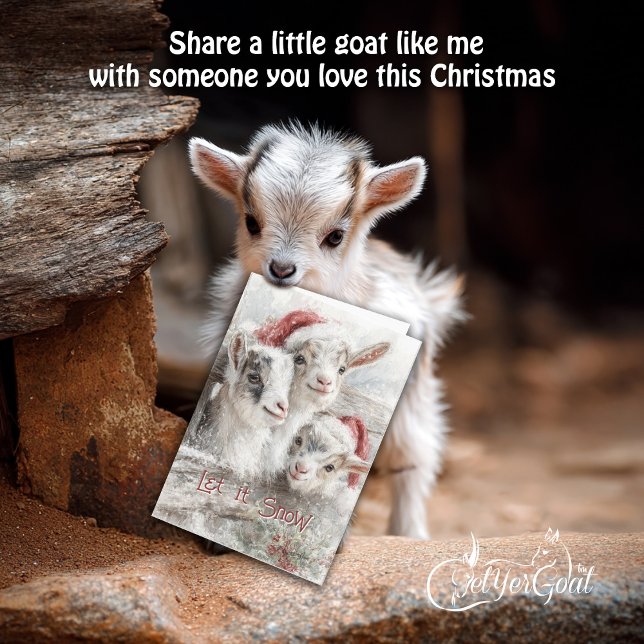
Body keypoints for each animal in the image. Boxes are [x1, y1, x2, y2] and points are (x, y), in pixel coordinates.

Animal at [189, 122, 465, 538]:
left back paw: (410, 532)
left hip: (413, 407)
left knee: (413, 463)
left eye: (335, 236)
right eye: (252, 222)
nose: (281, 269)